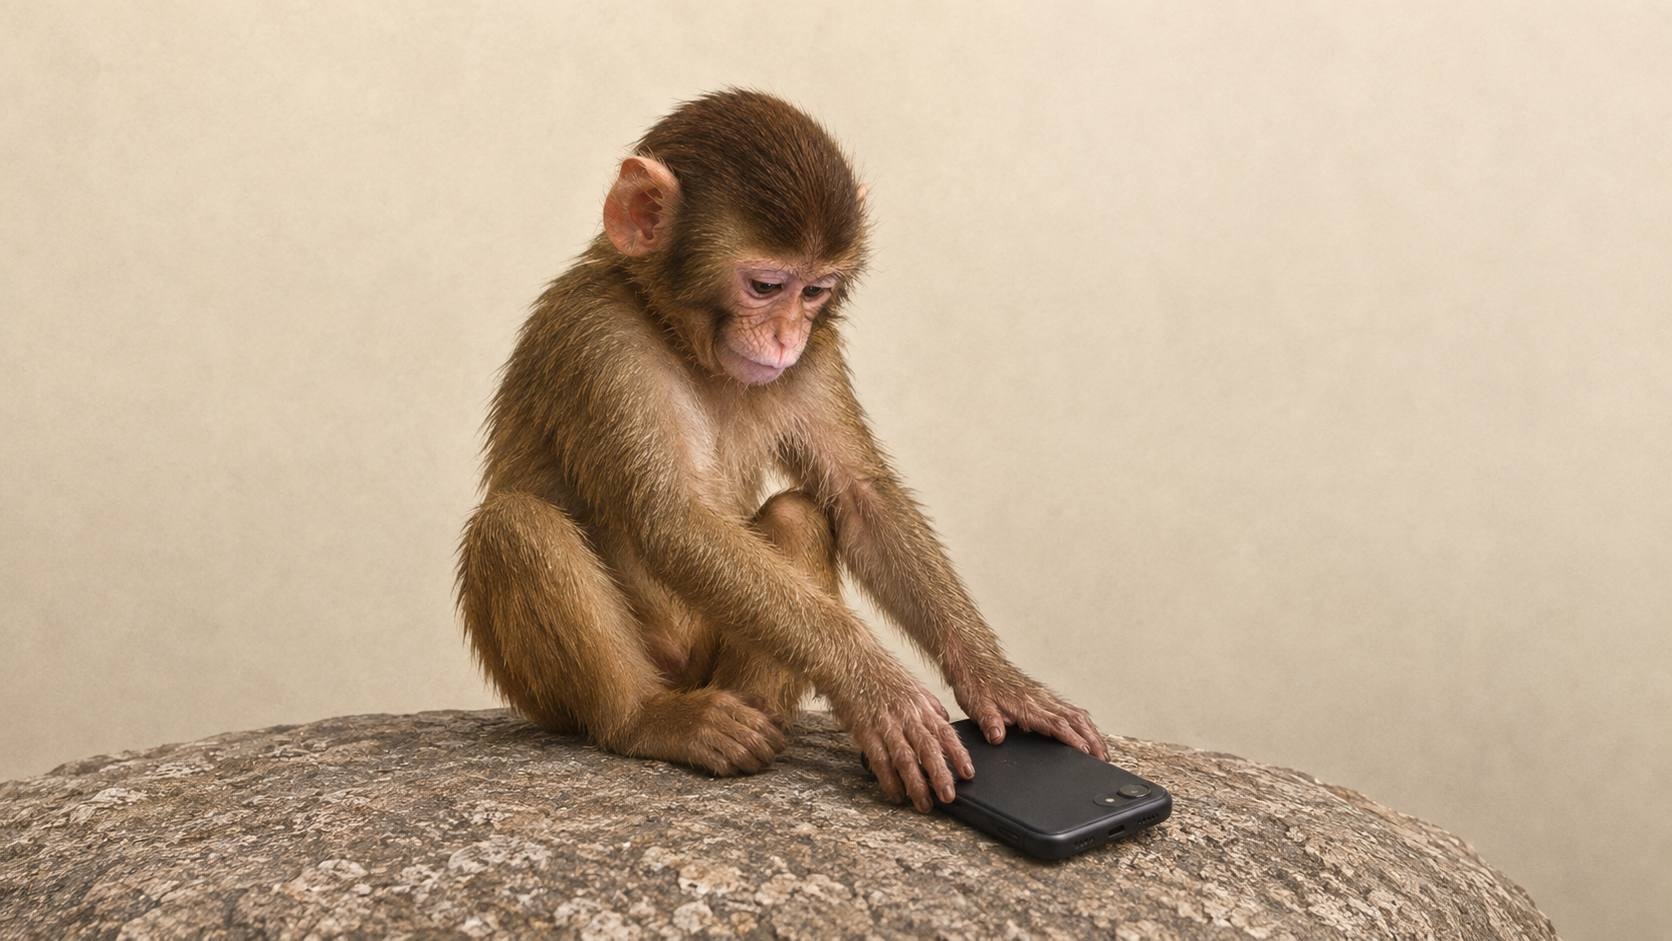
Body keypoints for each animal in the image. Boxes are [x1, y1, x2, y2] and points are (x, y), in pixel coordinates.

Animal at [456, 89, 1107, 812]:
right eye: (766, 286)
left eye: (816, 291)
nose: (785, 336)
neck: (675, 331)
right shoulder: (598, 335)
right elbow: (671, 520)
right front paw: (874, 684)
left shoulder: (817, 356)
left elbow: (859, 495)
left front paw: (995, 678)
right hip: (556, 692)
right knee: (515, 525)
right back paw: (647, 719)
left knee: (799, 513)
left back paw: (761, 713)